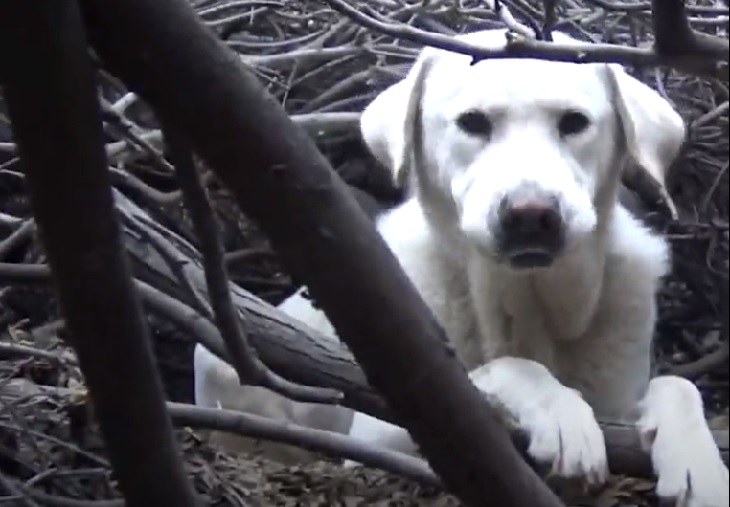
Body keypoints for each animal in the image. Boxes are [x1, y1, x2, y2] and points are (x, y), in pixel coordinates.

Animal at [195, 30, 728, 507]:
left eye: (574, 122)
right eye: (473, 122)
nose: (531, 215)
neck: (524, 303)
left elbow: (678, 386)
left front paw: (699, 462)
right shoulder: (381, 438)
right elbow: (501, 369)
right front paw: (560, 413)